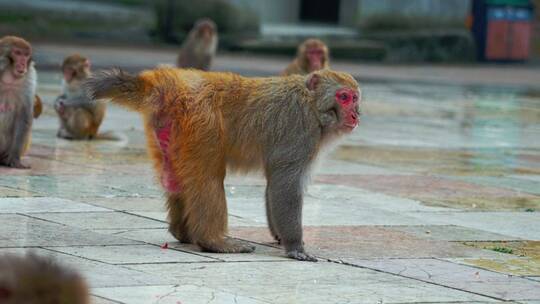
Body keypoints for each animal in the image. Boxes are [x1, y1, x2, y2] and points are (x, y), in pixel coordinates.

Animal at [0, 36, 36, 169]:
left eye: (26, 55)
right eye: (17, 53)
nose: (23, 63)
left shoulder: (29, 78)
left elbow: (23, 115)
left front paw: (15, 159)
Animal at [86, 67, 360, 262]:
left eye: (355, 98)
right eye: (343, 97)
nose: (356, 114)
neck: (312, 105)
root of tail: (170, 83)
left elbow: (274, 184)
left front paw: (280, 237)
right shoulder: (300, 130)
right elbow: (285, 184)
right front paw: (294, 246)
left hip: (168, 130)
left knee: (176, 179)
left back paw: (182, 233)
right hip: (201, 122)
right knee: (208, 177)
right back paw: (212, 241)